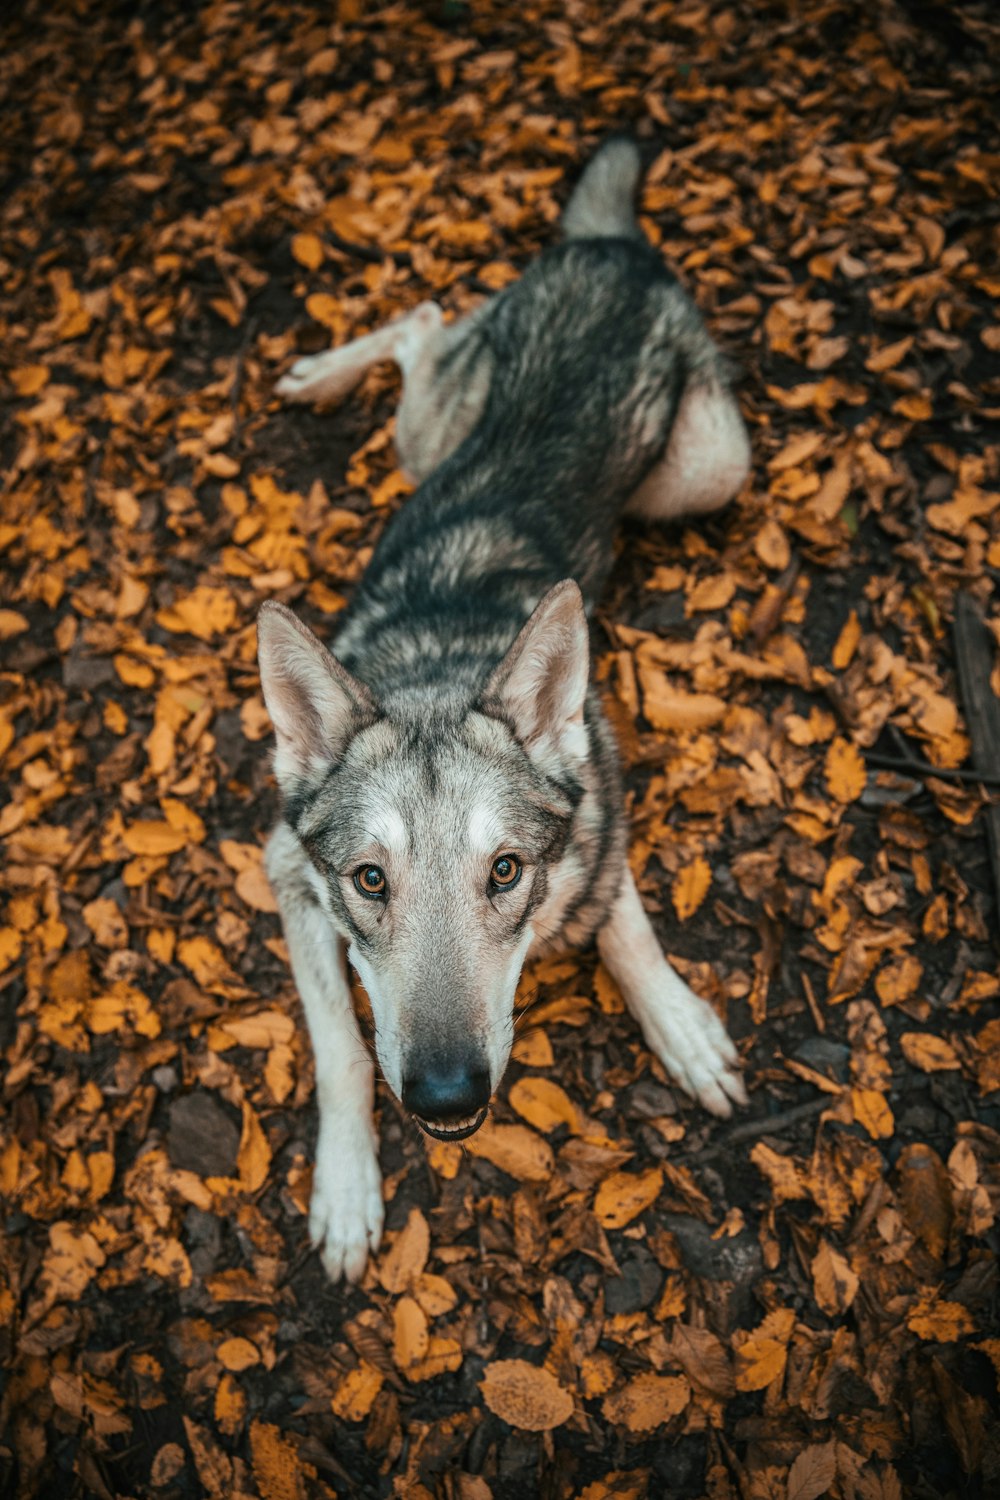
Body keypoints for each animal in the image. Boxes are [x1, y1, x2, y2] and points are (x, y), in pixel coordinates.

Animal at [257, 141, 749, 1284]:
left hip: (708, 471)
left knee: (427, 314)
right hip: (428, 434)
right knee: (419, 318)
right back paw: (318, 374)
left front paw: (679, 1026)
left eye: (507, 872)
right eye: (369, 880)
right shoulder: (285, 877)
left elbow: (628, 928)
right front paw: (346, 1190)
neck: (445, 664)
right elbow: (341, 1050)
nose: (446, 1096)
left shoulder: (603, 815)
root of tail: (607, 245)